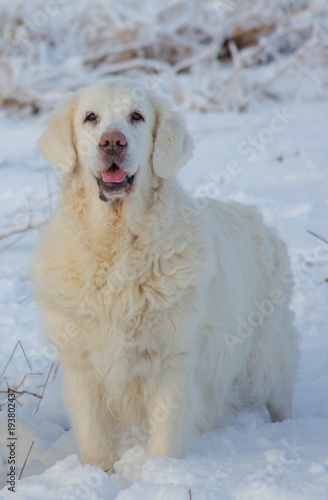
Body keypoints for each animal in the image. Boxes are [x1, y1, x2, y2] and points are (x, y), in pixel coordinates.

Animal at [32, 80, 298, 474]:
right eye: (90, 117)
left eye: (137, 116)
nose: (112, 141)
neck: (117, 247)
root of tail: (254, 215)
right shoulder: (81, 365)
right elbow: (94, 440)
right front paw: (97, 475)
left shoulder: (171, 363)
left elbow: (166, 436)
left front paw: (161, 474)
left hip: (269, 357)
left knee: (281, 397)